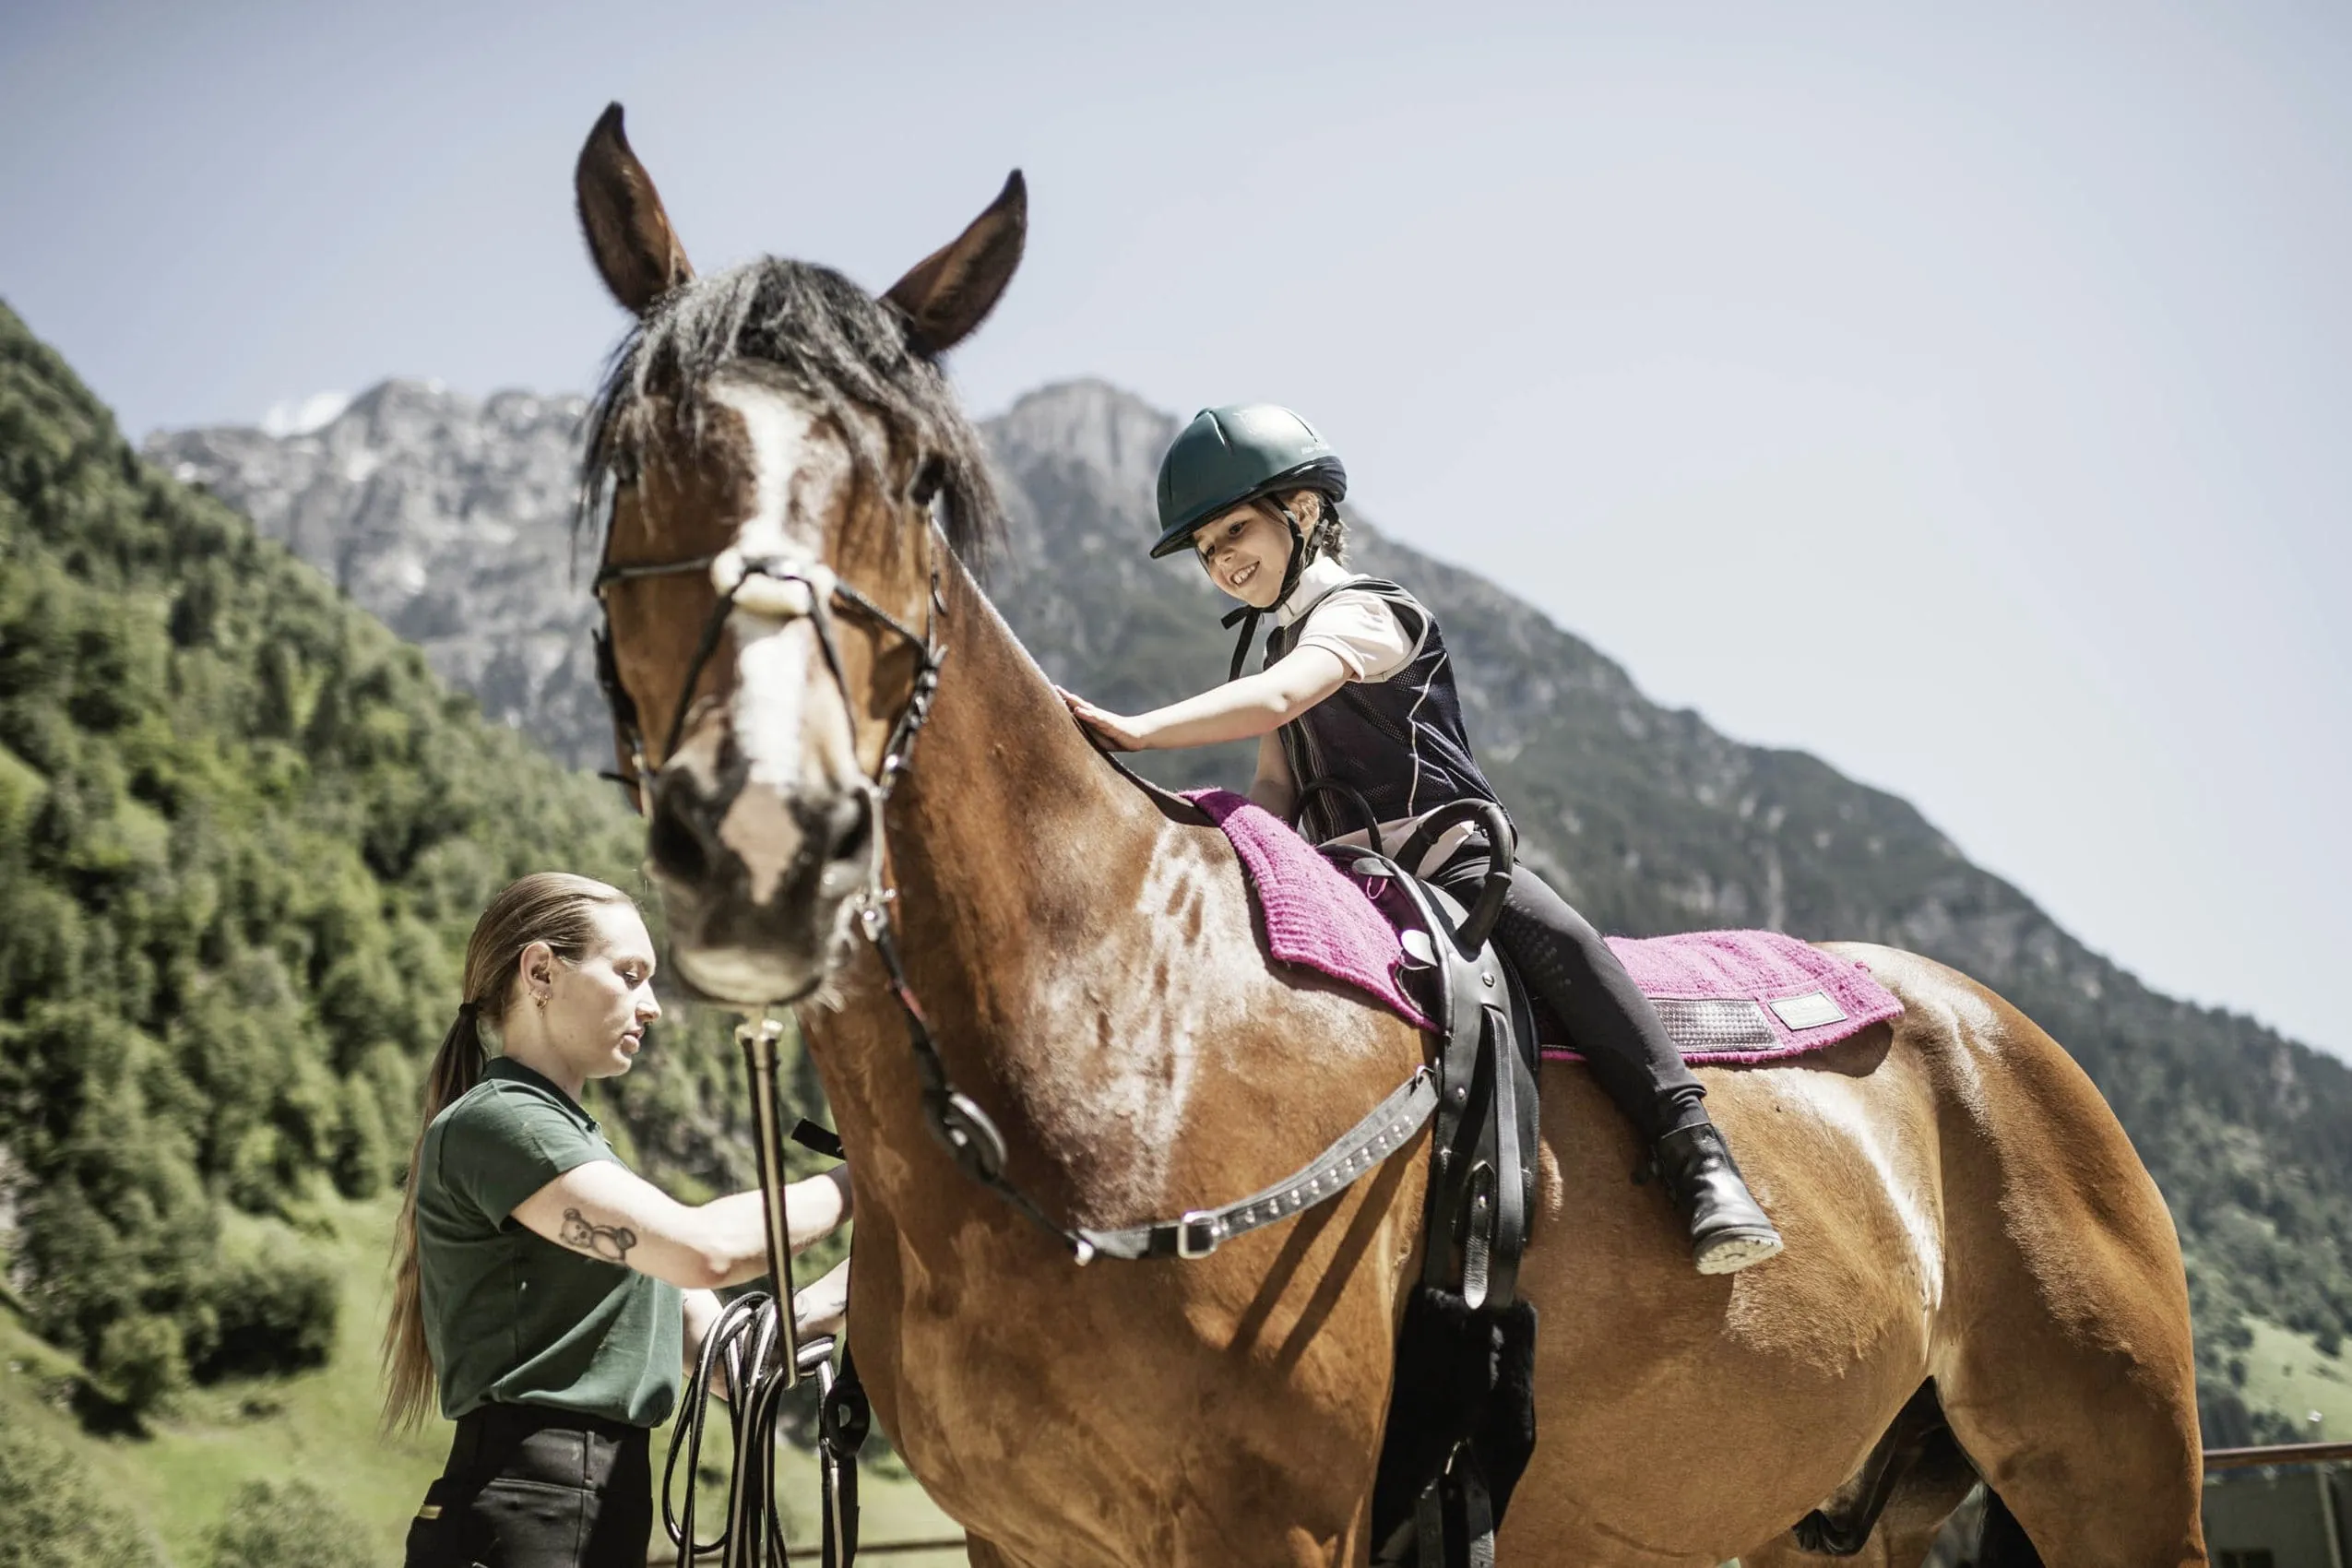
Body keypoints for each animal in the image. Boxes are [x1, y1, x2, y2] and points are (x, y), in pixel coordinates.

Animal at [568, 104, 2206, 1567]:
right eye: (634, 459)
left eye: (916, 479)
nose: (765, 833)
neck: (1109, 1028)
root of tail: (1997, 1035)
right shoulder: (1019, 1538)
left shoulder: (1275, 1524)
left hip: (2119, 1483)